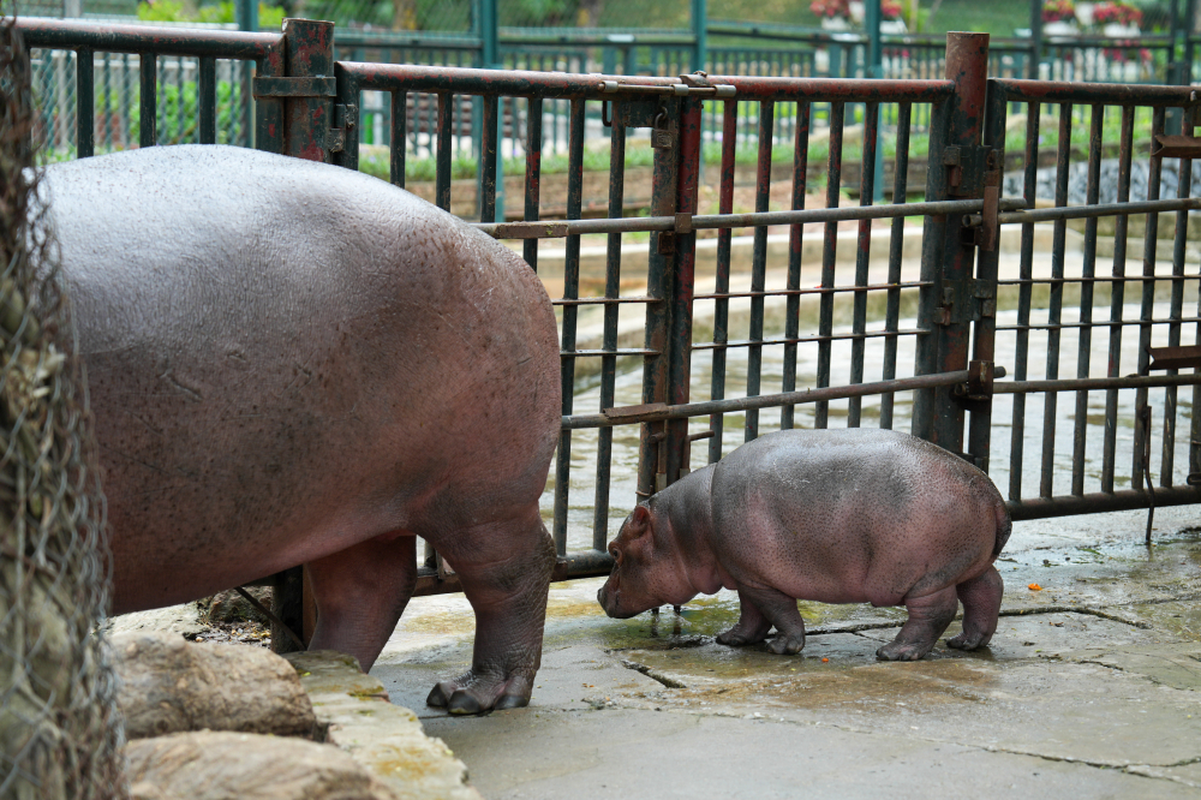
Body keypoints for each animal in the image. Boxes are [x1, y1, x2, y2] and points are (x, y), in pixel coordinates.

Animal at [38, 146, 562, 711]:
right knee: (371, 588)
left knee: (515, 571)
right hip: (351, 501)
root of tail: (504, 256)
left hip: (479, 495)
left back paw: (473, 694)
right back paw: (323, 672)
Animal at [595, 427, 1008, 658]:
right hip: (967, 563)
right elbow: (751, 614)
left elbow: (779, 613)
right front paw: (731, 639)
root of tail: (991, 492)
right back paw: (967, 644)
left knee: (935, 612)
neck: (684, 526)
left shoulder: (759, 579)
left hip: (924, 576)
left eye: (615, 550)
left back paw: (894, 652)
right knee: (987, 590)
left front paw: (782, 648)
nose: (599, 594)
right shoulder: (746, 576)